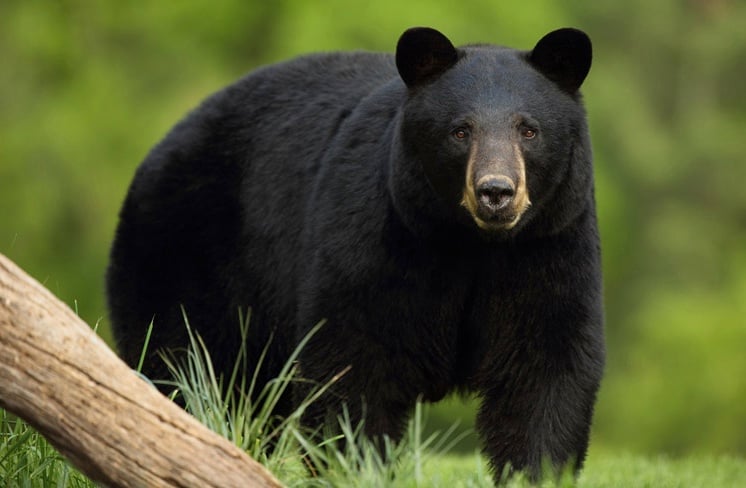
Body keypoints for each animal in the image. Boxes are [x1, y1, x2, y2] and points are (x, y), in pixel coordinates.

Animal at [106, 26, 604, 482]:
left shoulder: (549, 246)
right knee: (186, 365)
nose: (496, 192)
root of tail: (156, 151)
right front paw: (357, 467)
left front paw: (537, 471)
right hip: (185, 253)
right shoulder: (376, 241)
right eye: (460, 131)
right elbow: (354, 362)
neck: (470, 244)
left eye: (529, 130)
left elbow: (545, 371)